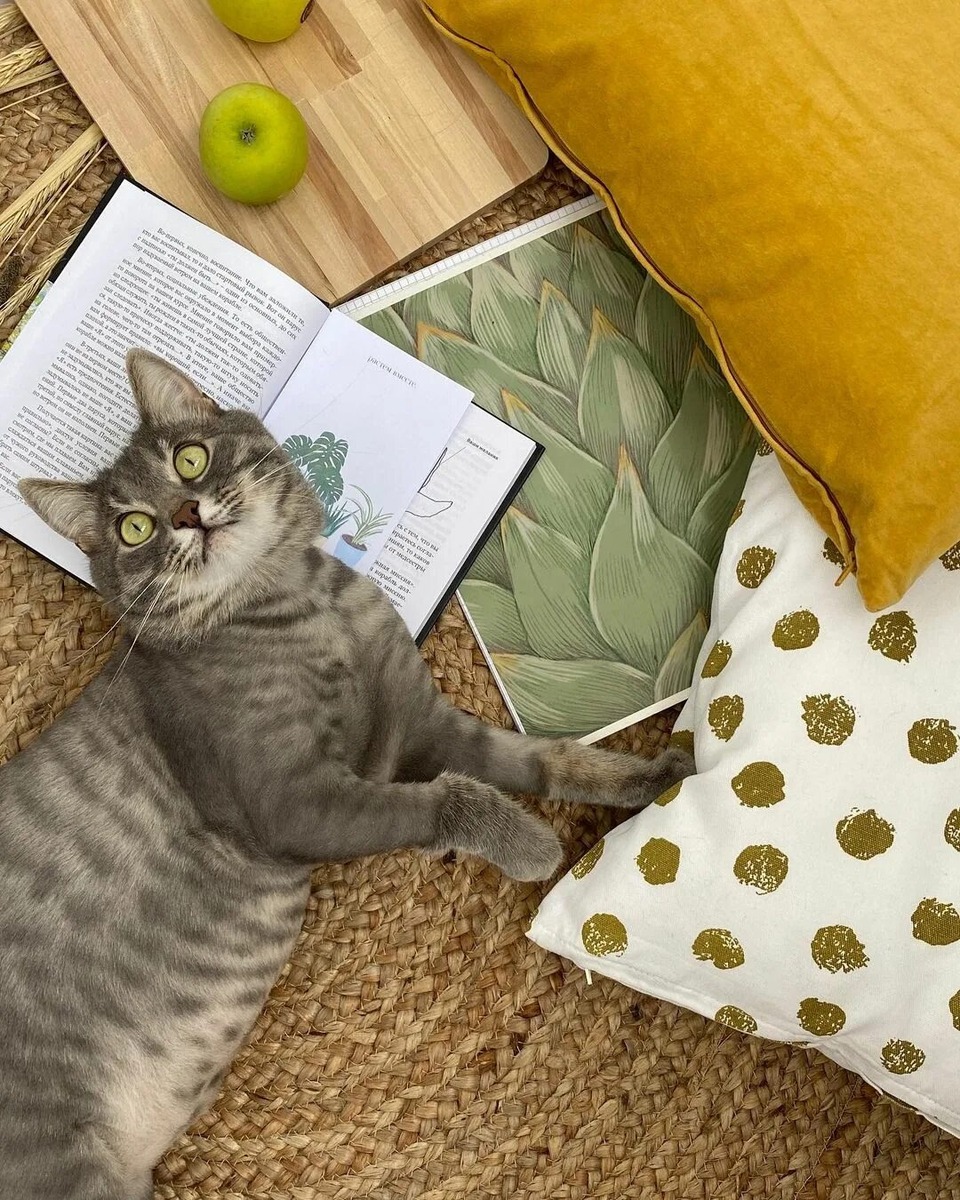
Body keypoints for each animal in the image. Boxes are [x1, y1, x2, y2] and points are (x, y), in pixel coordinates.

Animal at [1, 350, 694, 1199]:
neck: (302, 607)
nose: (188, 515)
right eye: (135, 528)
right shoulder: (295, 801)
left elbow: (549, 759)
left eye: (189, 460)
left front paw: (653, 778)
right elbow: (448, 800)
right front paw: (531, 845)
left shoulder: (425, 722)